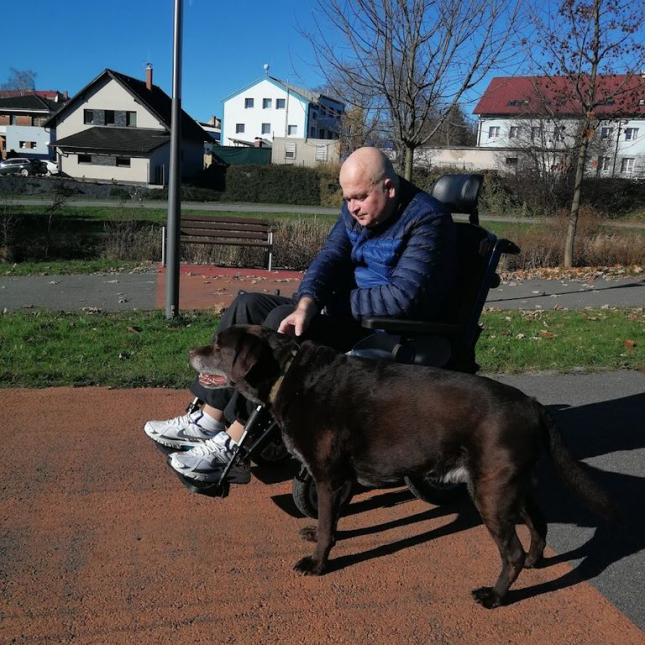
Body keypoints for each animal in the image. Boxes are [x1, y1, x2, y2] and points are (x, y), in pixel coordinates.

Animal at [189, 324, 616, 608]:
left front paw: (318, 563)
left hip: (491, 493)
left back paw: (495, 595)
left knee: (510, 551)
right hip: (510, 486)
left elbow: (328, 526)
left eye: (218, 345)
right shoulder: (342, 478)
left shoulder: (327, 476)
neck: (287, 375)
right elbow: (334, 518)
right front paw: (323, 537)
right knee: (539, 524)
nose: (190, 352)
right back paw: (534, 561)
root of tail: (533, 404)